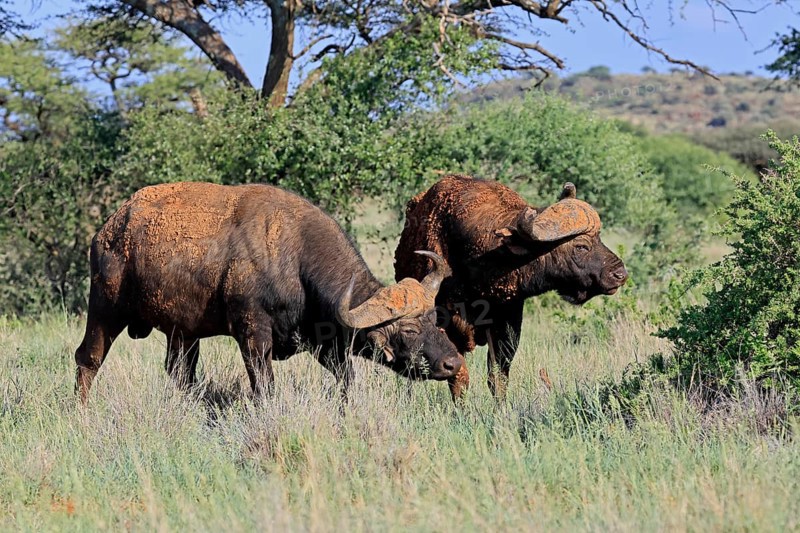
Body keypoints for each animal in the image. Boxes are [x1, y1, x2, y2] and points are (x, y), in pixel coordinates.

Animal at [75, 182, 463, 403]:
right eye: (408, 329)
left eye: (434, 318)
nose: (453, 362)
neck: (295, 259)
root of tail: (110, 229)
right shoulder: (252, 335)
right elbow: (264, 387)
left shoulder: (324, 343)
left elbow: (347, 380)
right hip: (105, 309)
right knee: (87, 358)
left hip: (182, 333)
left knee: (180, 373)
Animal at [394, 175, 628, 399]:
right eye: (581, 246)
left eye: (598, 237)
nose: (620, 274)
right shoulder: (447, 327)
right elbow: (459, 379)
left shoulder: (508, 326)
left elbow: (497, 378)